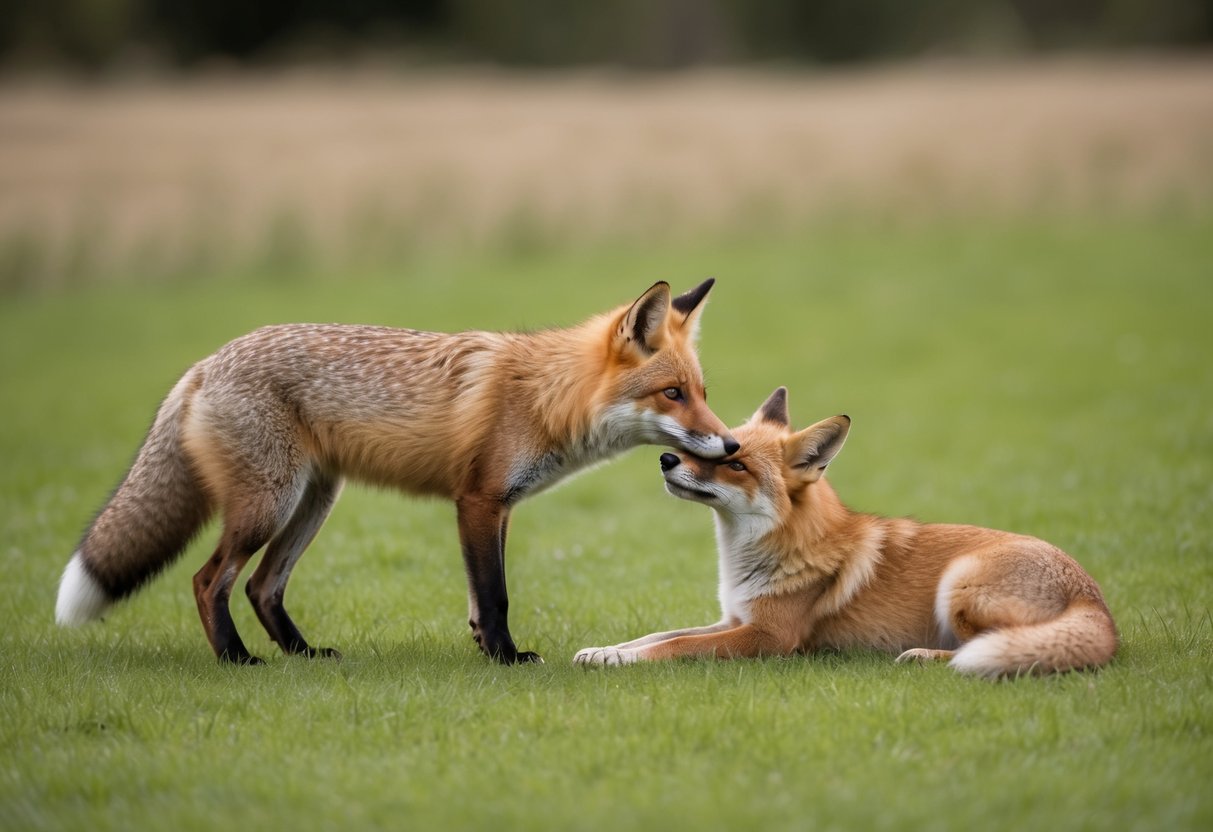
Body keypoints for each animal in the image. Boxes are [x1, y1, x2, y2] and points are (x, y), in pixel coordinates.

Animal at [55, 279, 739, 666]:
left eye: (702, 392)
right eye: (672, 393)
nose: (732, 442)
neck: (547, 397)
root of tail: (205, 363)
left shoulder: (500, 506)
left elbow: (480, 599)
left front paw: (484, 650)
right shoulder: (478, 500)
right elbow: (495, 593)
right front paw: (506, 660)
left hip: (313, 502)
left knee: (261, 586)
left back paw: (304, 656)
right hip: (268, 505)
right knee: (208, 581)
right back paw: (237, 661)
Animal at [574, 387, 1118, 678]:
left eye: (735, 463)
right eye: (719, 447)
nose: (666, 459)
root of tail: (1096, 604)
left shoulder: (769, 637)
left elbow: (673, 648)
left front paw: (618, 661)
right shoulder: (734, 617)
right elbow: (658, 635)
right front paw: (606, 651)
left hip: (958, 585)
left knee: (986, 648)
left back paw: (924, 656)